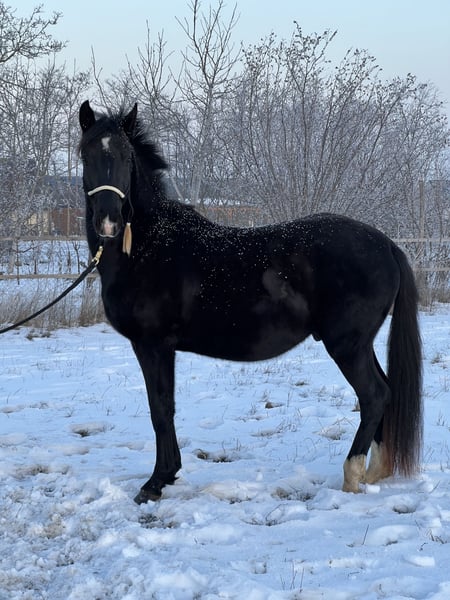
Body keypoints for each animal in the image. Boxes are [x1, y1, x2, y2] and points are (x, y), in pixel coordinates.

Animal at [78, 100, 423, 504]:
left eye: (124, 156)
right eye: (85, 154)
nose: (108, 222)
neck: (148, 246)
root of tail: (387, 245)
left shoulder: (153, 345)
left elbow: (161, 408)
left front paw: (156, 482)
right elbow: (165, 407)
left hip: (347, 345)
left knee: (374, 396)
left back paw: (352, 476)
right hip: (360, 344)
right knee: (385, 393)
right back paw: (375, 471)